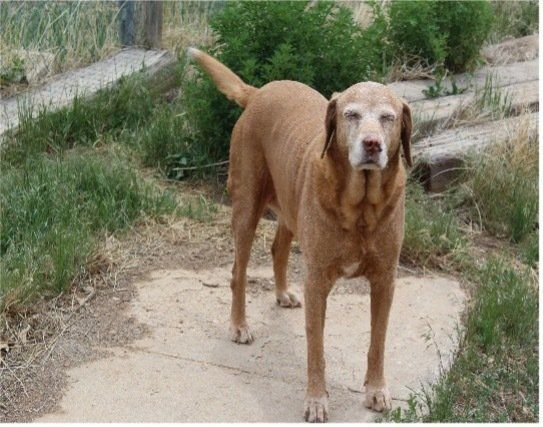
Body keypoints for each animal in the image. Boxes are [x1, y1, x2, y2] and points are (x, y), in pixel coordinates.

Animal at [188, 47, 412, 422]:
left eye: (388, 118)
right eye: (351, 114)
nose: (372, 145)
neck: (361, 208)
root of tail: (258, 92)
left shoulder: (385, 280)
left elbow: (377, 342)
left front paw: (376, 389)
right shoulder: (317, 280)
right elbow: (316, 348)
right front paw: (317, 399)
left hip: (290, 207)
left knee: (278, 249)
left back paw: (282, 293)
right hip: (246, 208)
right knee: (238, 272)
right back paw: (239, 325)